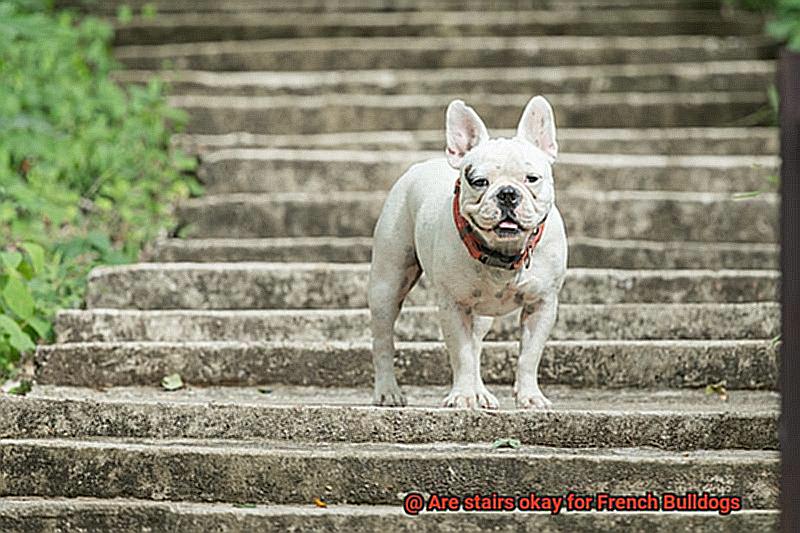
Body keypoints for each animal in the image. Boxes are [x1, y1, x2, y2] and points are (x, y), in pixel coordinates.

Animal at [366, 95, 564, 410]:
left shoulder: (542, 305)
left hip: (480, 313)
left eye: (532, 178)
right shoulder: (454, 305)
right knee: (383, 339)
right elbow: (461, 354)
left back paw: (481, 392)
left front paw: (530, 397)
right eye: (479, 181)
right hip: (388, 283)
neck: (503, 251)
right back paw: (388, 391)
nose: (508, 193)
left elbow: (528, 356)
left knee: (476, 342)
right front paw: (462, 396)